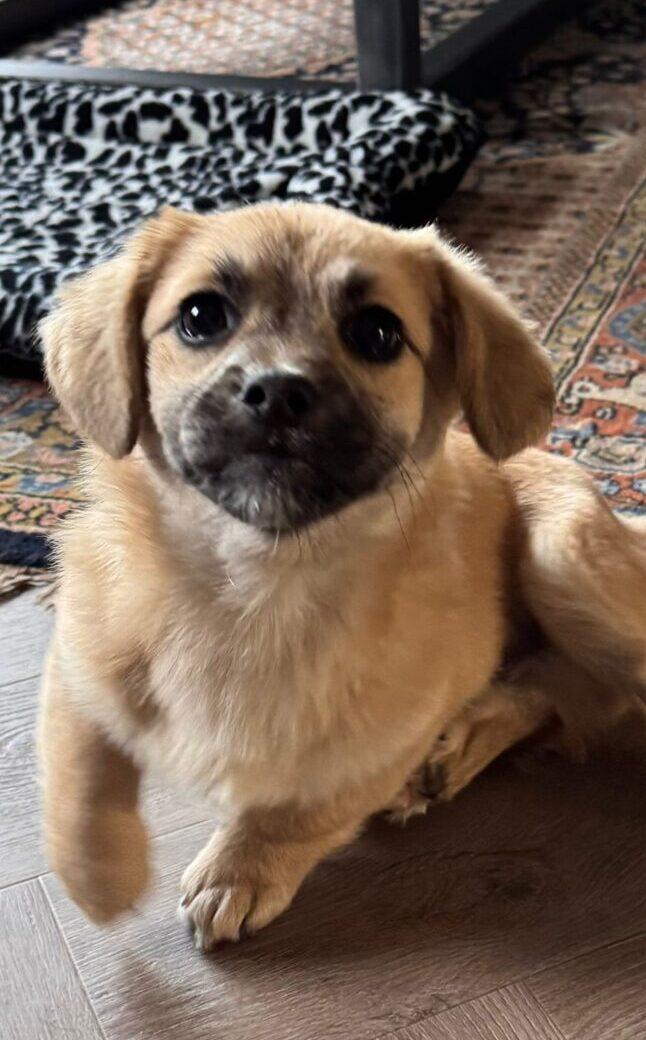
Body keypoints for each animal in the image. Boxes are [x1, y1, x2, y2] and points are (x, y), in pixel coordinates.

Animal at [38, 202, 646, 950]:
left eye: (377, 333)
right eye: (200, 316)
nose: (276, 392)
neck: (257, 582)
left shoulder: (384, 731)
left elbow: (304, 805)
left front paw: (238, 870)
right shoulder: (81, 654)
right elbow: (77, 773)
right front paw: (103, 874)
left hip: (564, 558)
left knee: (585, 684)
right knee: (558, 688)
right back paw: (454, 753)